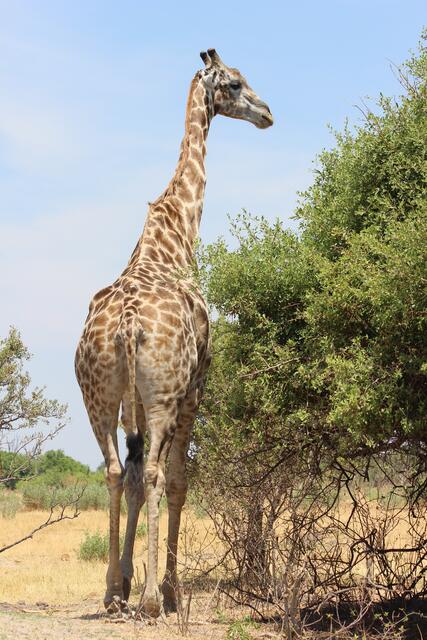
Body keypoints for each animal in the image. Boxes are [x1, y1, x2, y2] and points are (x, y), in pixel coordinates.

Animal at [75, 48, 273, 618]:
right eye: (235, 82)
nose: (267, 112)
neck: (178, 235)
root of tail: (125, 325)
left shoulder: (130, 402)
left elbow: (135, 477)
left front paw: (124, 580)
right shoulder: (194, 383)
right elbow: (178, 479)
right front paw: (167, 587)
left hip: (97, 395)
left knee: (115, 471)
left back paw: (111, 594)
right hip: (163, 394)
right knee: (157, 474)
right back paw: (148, 599)